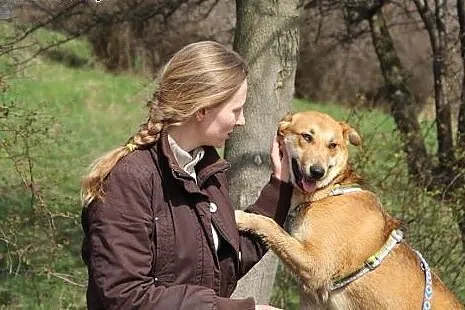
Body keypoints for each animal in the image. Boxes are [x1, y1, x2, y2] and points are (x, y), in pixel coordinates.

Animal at [237, 111, 462, 310]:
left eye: (332, 145)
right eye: (307, 137)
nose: (317, 172)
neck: (328, 192)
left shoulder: (317, 265)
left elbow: (269, 225)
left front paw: (242, 217)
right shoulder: (312, 296)